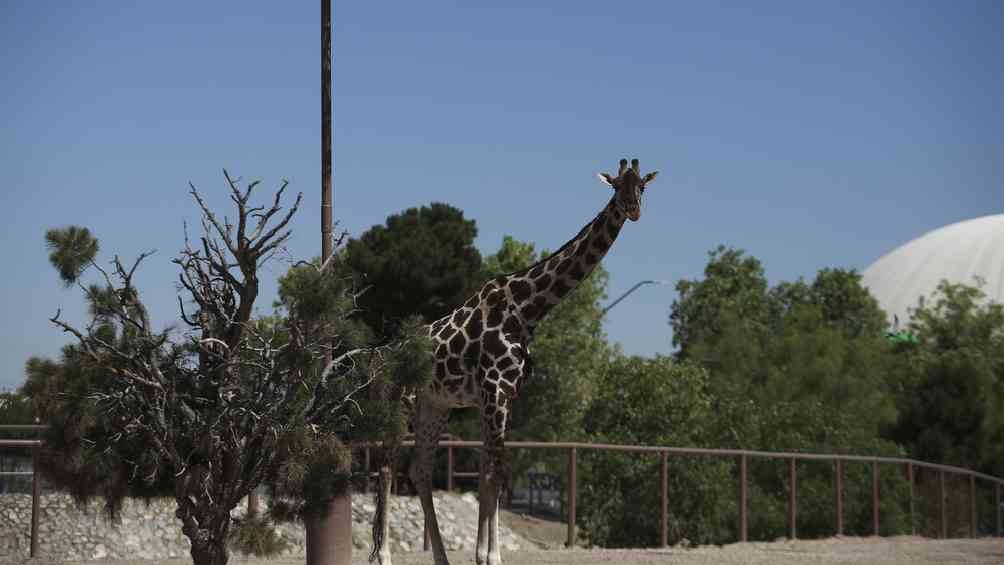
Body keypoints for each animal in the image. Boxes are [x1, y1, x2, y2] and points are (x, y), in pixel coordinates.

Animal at [371, 156, 658, 561]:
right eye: (617, 186)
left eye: (642, 186)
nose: (633, 210)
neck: (527, 310)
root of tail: (378, 359)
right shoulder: (493, 392)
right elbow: (494, 472)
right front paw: (487, 556)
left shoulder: (505, 395)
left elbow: (494, 471)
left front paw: (487, 554)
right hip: (398, 402)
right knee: (385, 467)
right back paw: (384, 555)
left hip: (434, 406)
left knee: (419, 471)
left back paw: (442, 557)